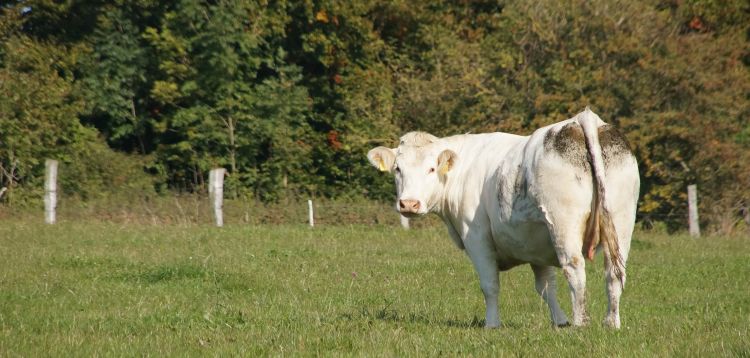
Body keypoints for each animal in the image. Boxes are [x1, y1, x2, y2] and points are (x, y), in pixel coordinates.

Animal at [370, 107, 640, 328]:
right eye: (397, 169)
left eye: (432, 168)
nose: (409, 203)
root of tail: (581, 119)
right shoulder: (535, 241)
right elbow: (546, 287)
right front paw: (559, 321)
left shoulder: (476, 238)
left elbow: (490, 285)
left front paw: (492, 324)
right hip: (621, 220)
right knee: (615, 272)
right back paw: (611, 323)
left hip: (564, 224)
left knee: (575, 269)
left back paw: (580, 324)